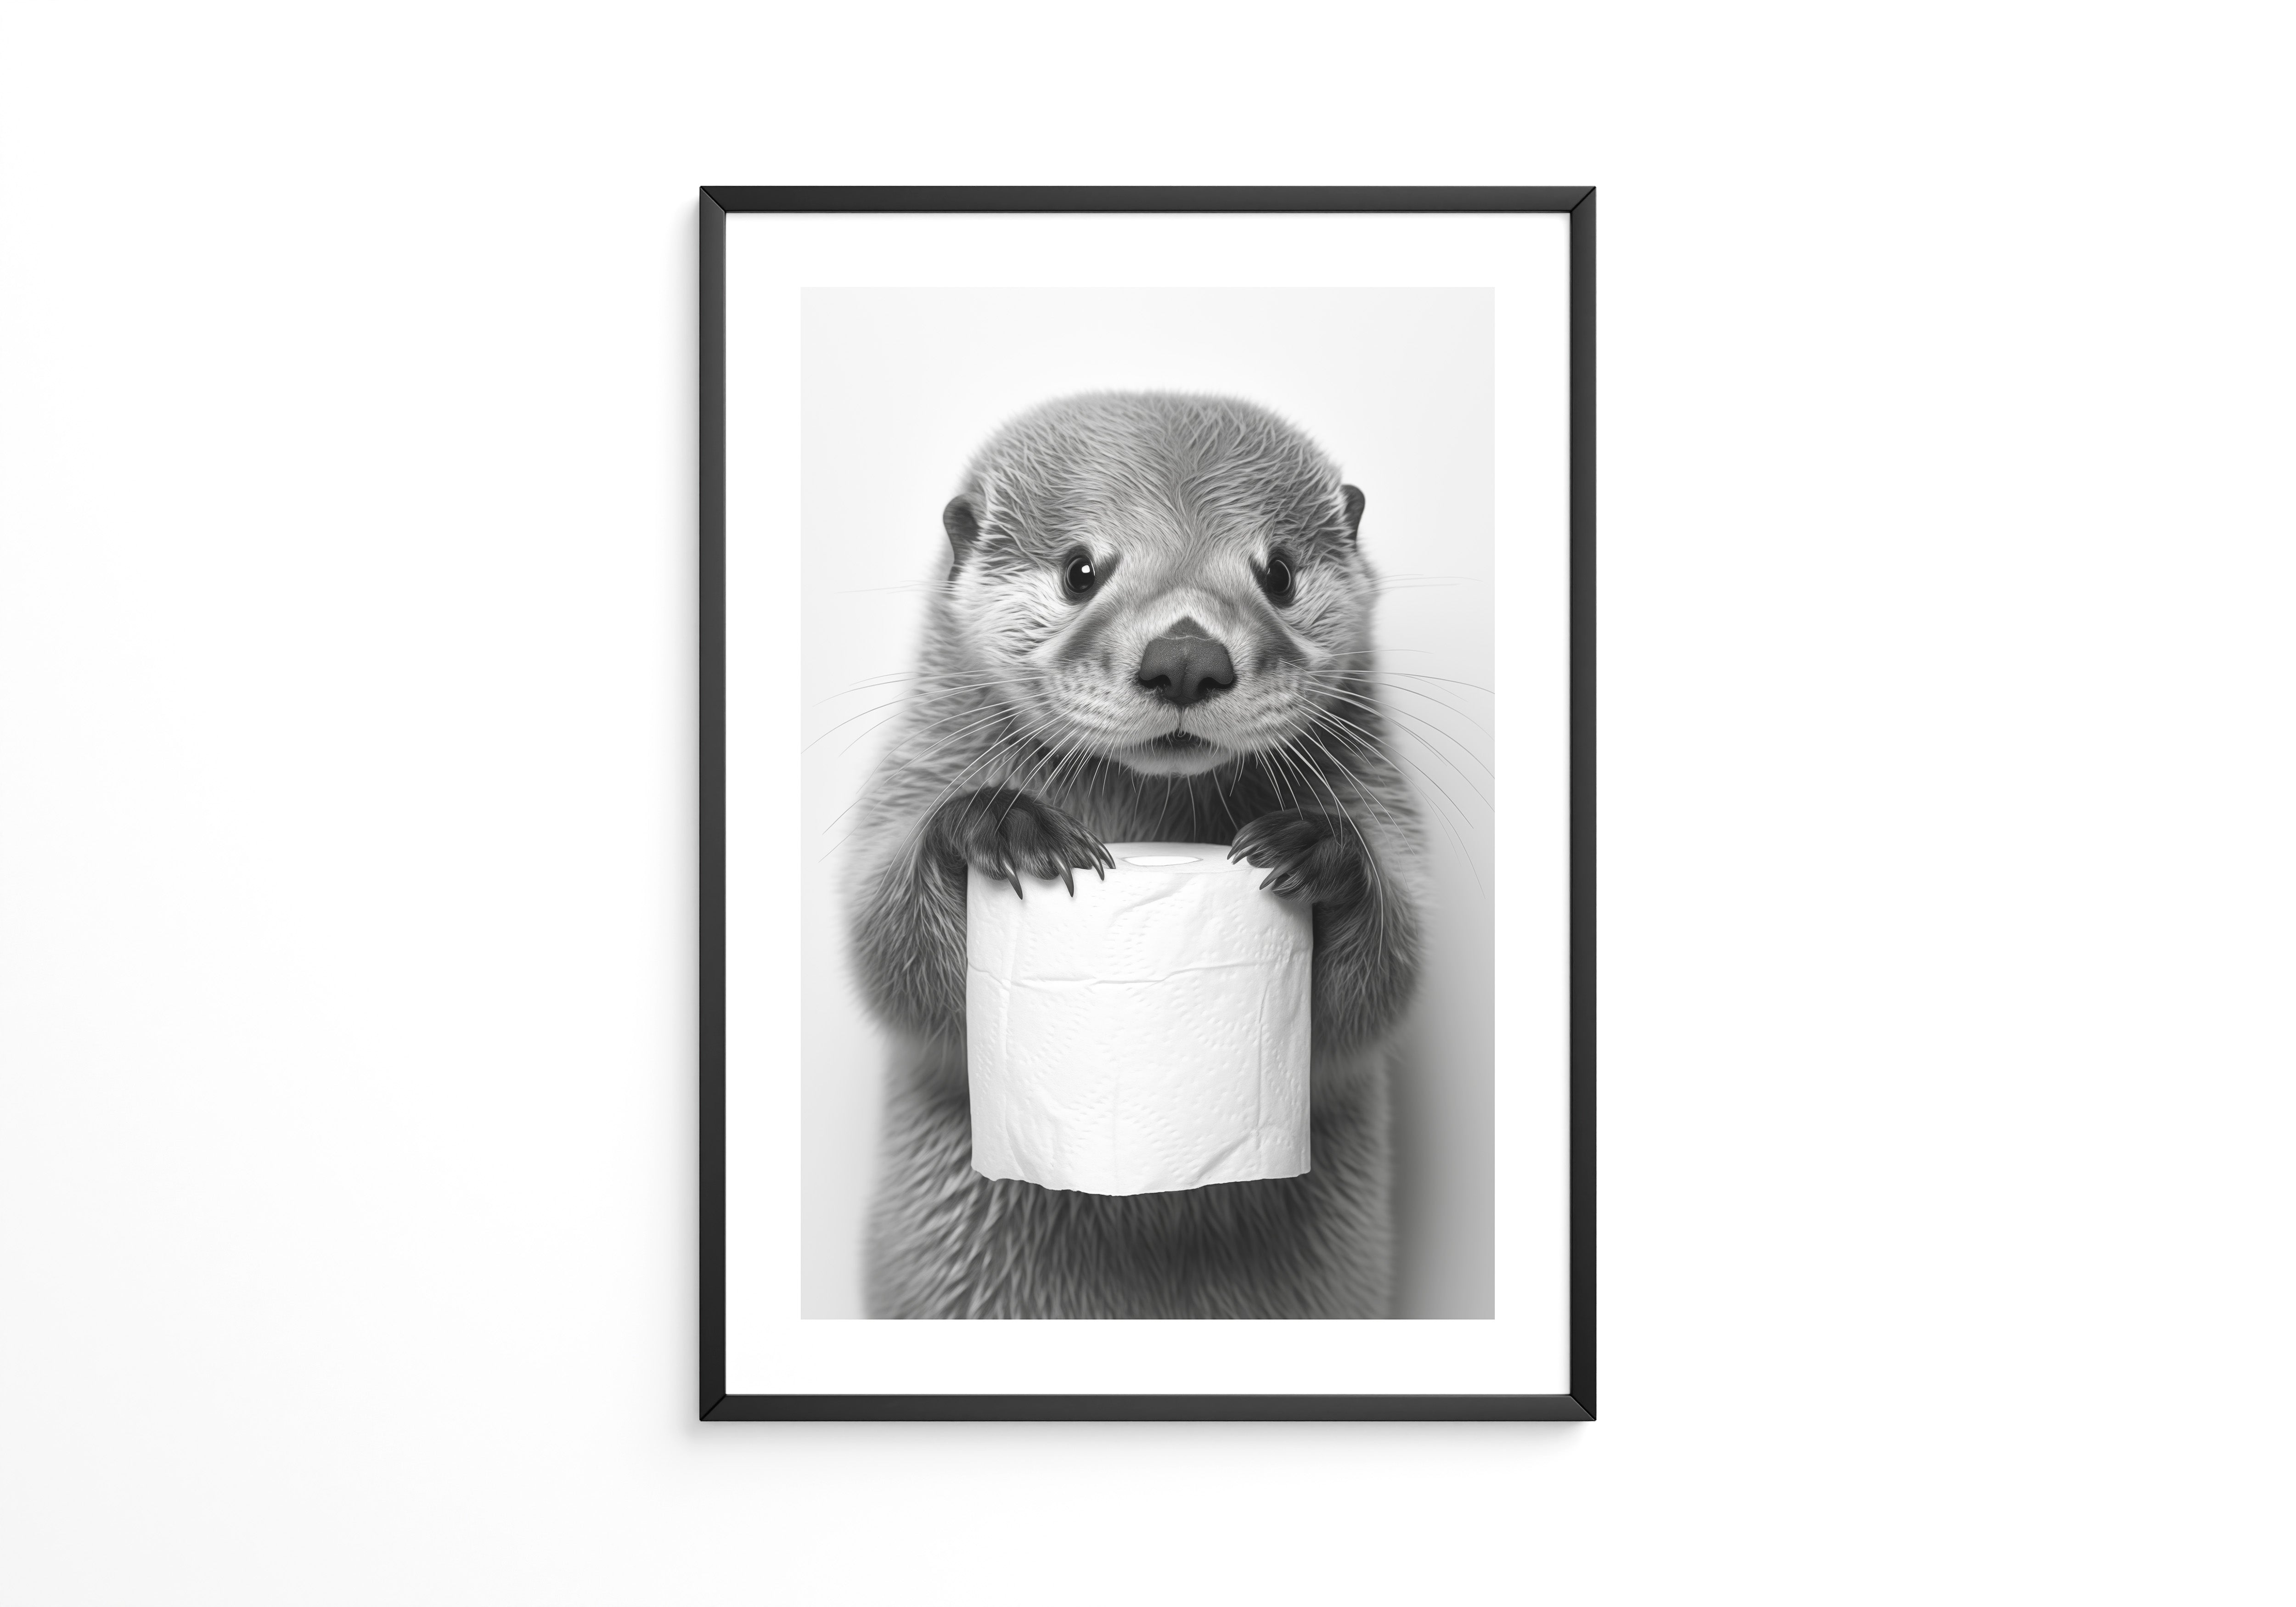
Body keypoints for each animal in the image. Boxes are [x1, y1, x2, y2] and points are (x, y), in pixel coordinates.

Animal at [845, 391, 1425, 1319]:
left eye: (1279, 573)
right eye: (1080, 571)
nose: (1186, 657)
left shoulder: (1379, 795)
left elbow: (1382, 991)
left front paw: (1320, 849)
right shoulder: (918, 767)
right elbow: (889, 964)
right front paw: (997, 829)